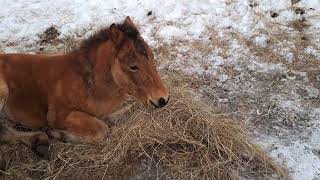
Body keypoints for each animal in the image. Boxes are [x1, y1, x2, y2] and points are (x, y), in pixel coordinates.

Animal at [0, 16, 169, 158]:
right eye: (133, 66)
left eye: (152, 55)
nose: (163, 99)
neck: (89, 85)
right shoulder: (58, 114)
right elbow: (101, 129)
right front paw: (61, 134)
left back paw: (39, 141)